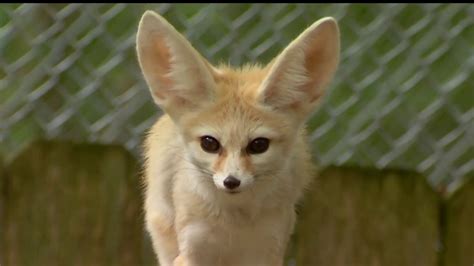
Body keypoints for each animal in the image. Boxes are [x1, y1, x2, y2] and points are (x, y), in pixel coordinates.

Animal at [135, 9, 338, 264]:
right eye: (209, 143)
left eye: (258, 145)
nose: (231, 181)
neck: (232, 227)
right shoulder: (191, 251)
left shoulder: (269, 249)